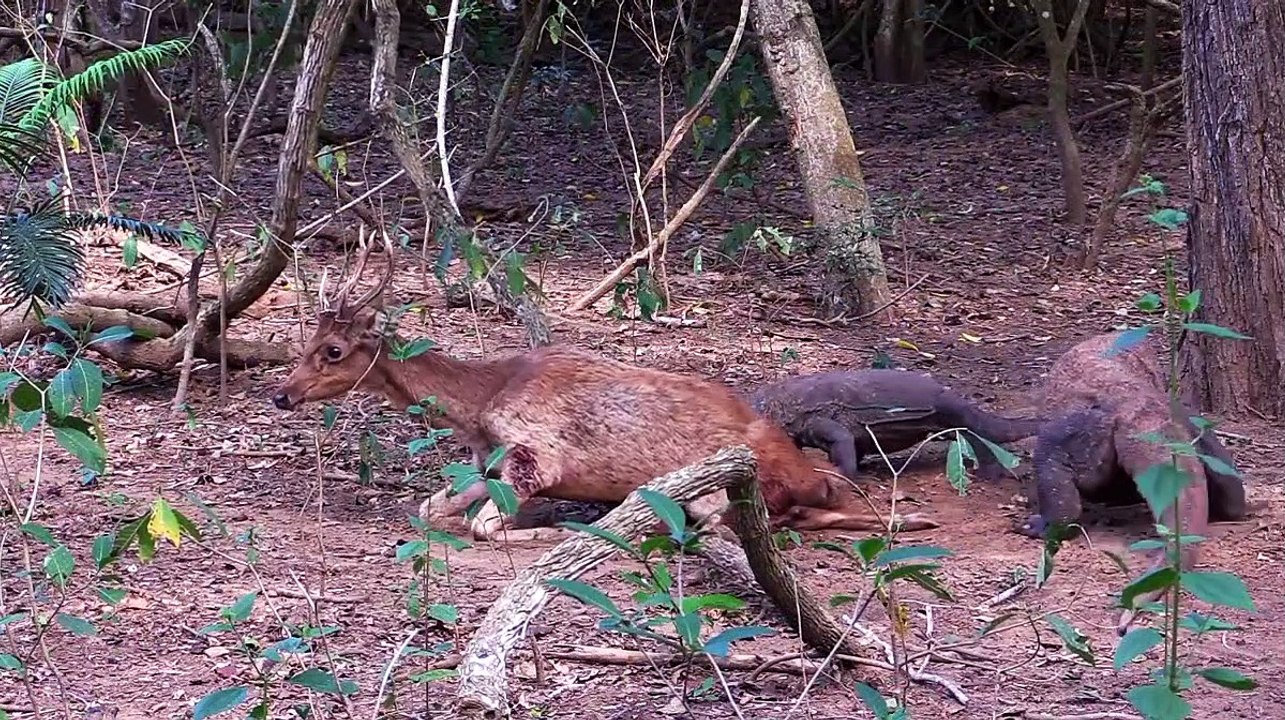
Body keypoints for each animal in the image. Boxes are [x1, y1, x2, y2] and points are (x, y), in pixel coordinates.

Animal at [271, 227, 939, 544]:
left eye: (333, 350)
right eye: (303, 342)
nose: (282, 394)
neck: (482, 402)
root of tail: (809, 477)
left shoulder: (539, 454)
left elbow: (482, 526)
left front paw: (548, 529)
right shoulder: (490, 458)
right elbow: (430, 508)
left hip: (721, 482)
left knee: (727, 520)